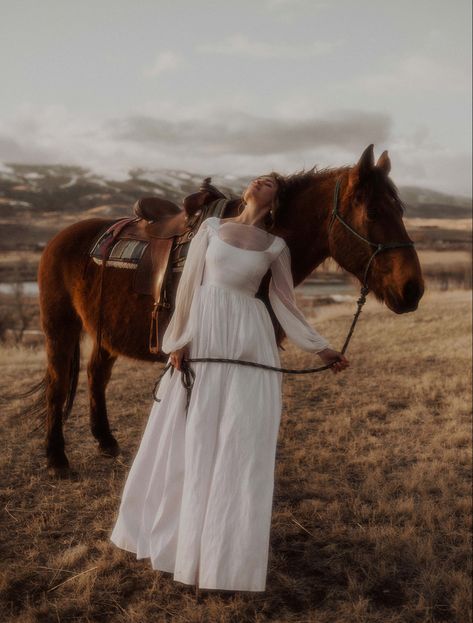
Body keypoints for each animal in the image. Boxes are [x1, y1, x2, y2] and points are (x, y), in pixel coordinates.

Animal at [24, 144, 422, 476]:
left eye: (402, 210)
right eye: (373, 212)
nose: (413, 289)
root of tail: (59, 238)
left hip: (106, 330)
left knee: (96, 375)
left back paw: (106, 442)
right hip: (59, 328)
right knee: (58, 383)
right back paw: (57, 460)